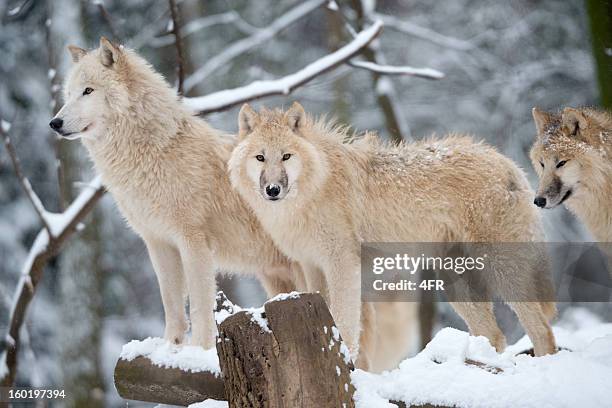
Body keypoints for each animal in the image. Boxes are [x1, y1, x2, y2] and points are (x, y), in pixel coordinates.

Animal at [48, 38, 306, 350]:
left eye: (88, 91)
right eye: (68, 94)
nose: (54, 123)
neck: (155, 152)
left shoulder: (193, 242)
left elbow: (199, 306)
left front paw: (200, 350)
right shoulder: (158, 243)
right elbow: (171, 304)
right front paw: (171, 346)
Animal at [230, 102, 560, 356]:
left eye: (286, 156)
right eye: (260, 157)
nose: (273, 189)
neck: (313, 190)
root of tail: (508, 164)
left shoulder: (342, 266)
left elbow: (345, 324)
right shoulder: (312, 267)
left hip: (500, 271)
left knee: (541, 330)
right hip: (455, 284)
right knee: (494, 335)